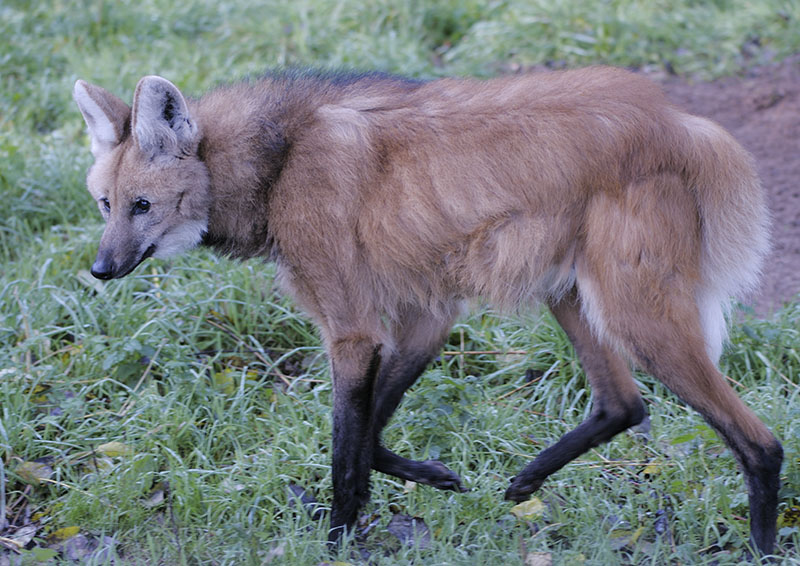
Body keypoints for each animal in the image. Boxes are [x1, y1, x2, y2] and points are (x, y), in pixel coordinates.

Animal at [73, 67, 782, 555]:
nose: (101, 270)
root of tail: (680, 121)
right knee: (622, 404)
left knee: (761, 442)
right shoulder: (423, 316)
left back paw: (761, 548)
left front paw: (335, 543)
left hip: (635, 315)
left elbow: (347, 447)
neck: (274, 163)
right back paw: (524, 485)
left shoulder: (354, 332)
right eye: (106, 205)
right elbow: (370, 437)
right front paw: (437, 479)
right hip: (569, 291)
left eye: (142, 205)